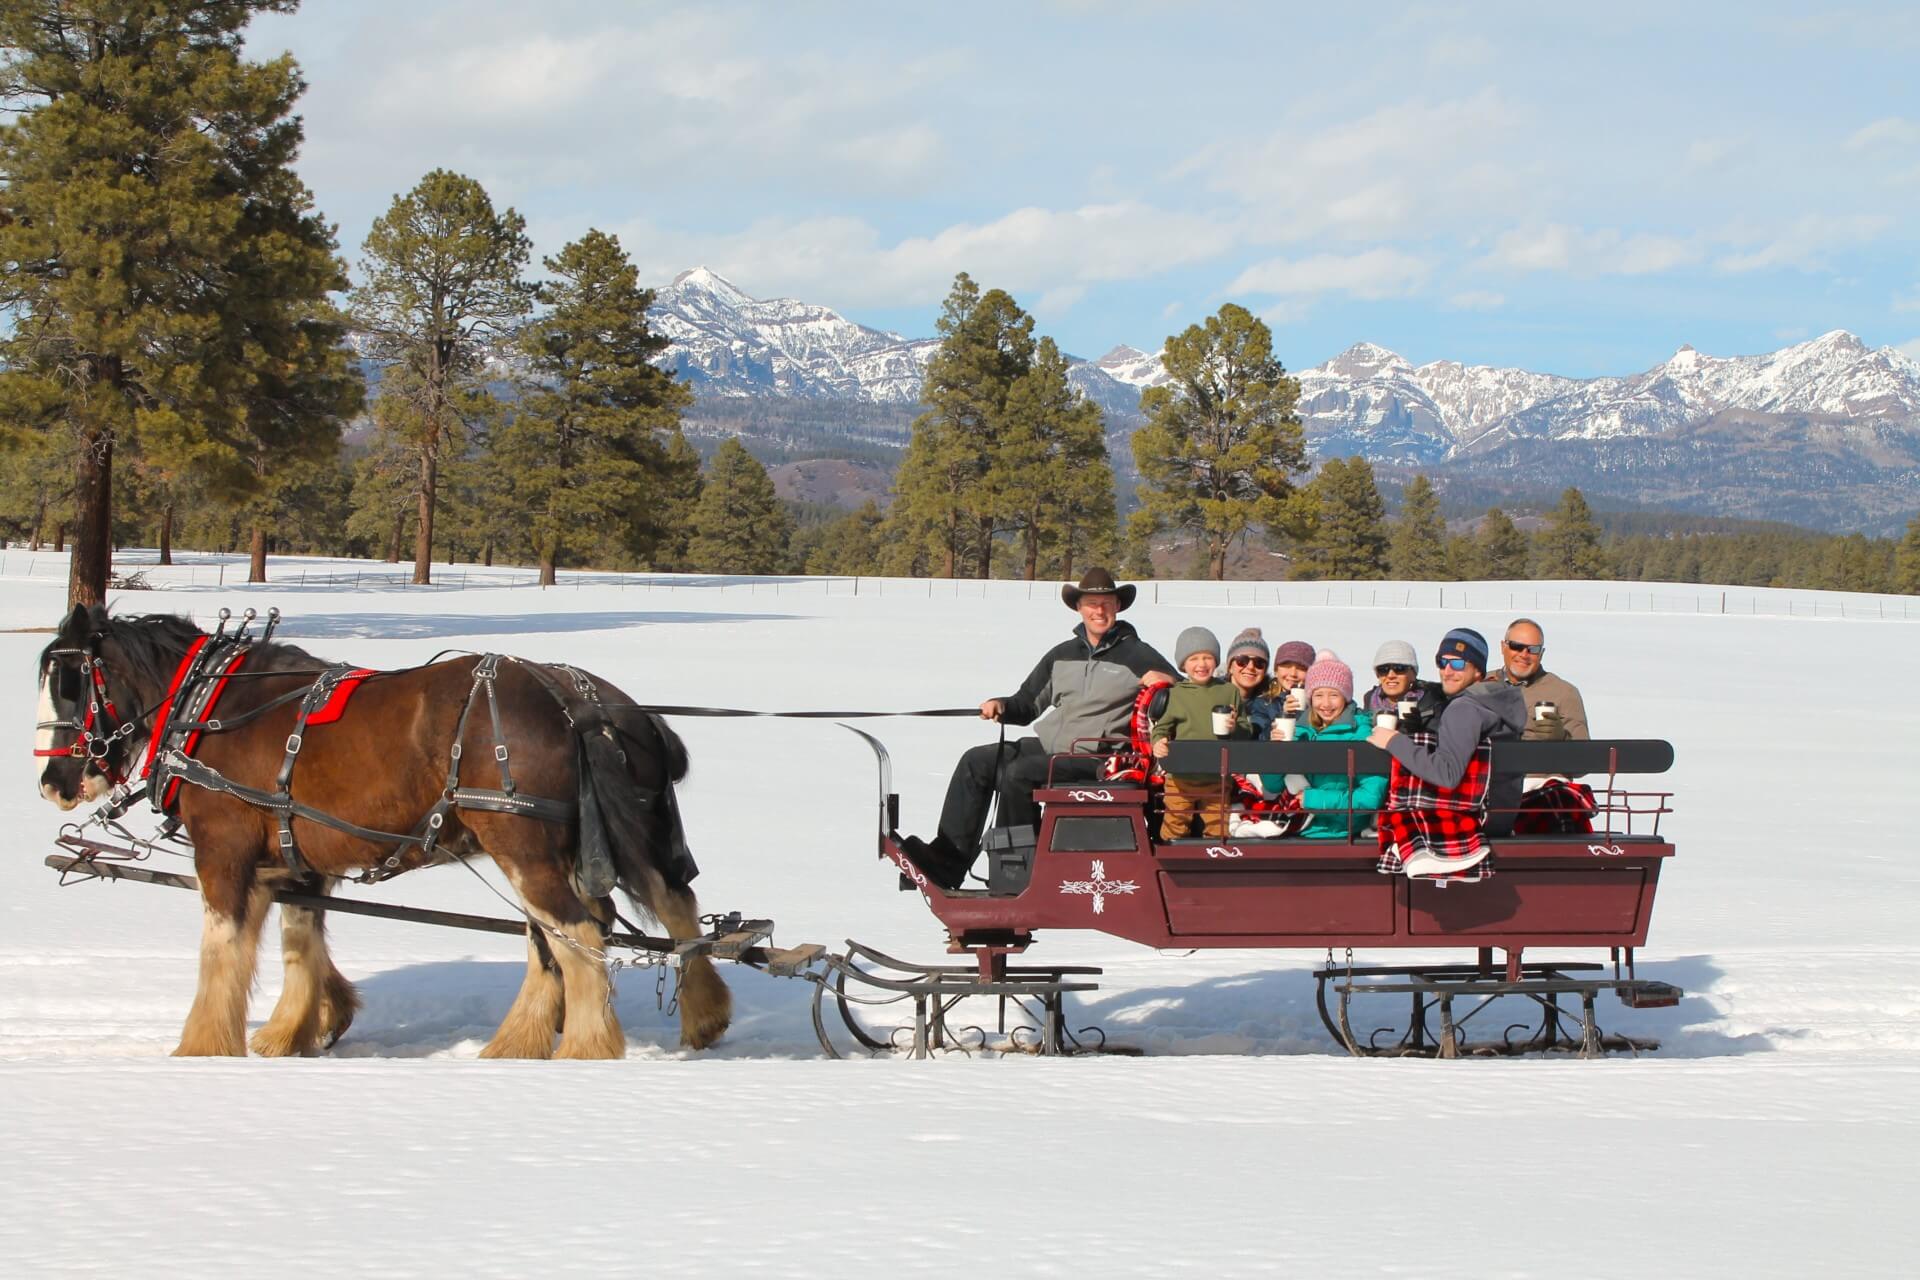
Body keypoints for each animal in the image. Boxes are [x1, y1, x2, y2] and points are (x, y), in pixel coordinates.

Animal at [34, 604, 732, 1060]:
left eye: (69, 685)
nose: (53, 783)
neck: (210, 708)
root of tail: (583, 700)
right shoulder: (294, 860)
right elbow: (299, 942)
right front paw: (302, 1027)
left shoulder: (224, 854)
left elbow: (222, 951)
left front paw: (202, 1048)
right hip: (604, 837)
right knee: (660, 911)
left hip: (523, 845)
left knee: (580, 933)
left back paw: (584, 1050)